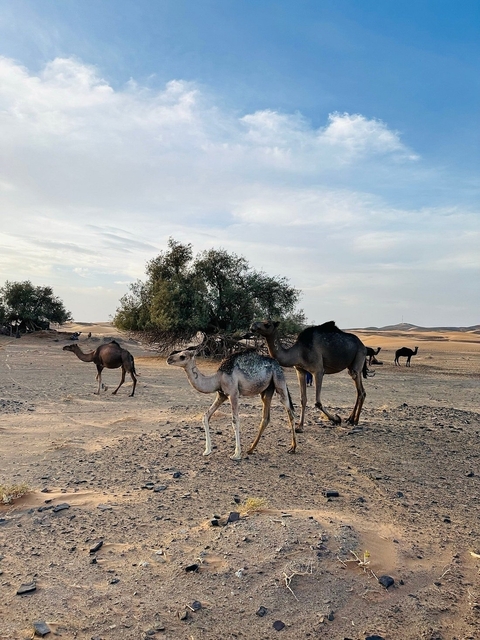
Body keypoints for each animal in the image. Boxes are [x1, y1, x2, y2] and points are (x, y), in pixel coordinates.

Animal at [166, 348, 296, 460]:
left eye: (182, 356)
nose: (169, 359)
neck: (218, 379)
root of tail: (277, 364)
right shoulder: (221, 395)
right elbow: (206, 416)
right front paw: (207, 450)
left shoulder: (233, 393)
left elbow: (235, 420)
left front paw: (236, 454)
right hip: (267, 389)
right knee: (266, 417)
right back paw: (251, 449)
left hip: (279, 380)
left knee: (289, 411)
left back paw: (293, 448)